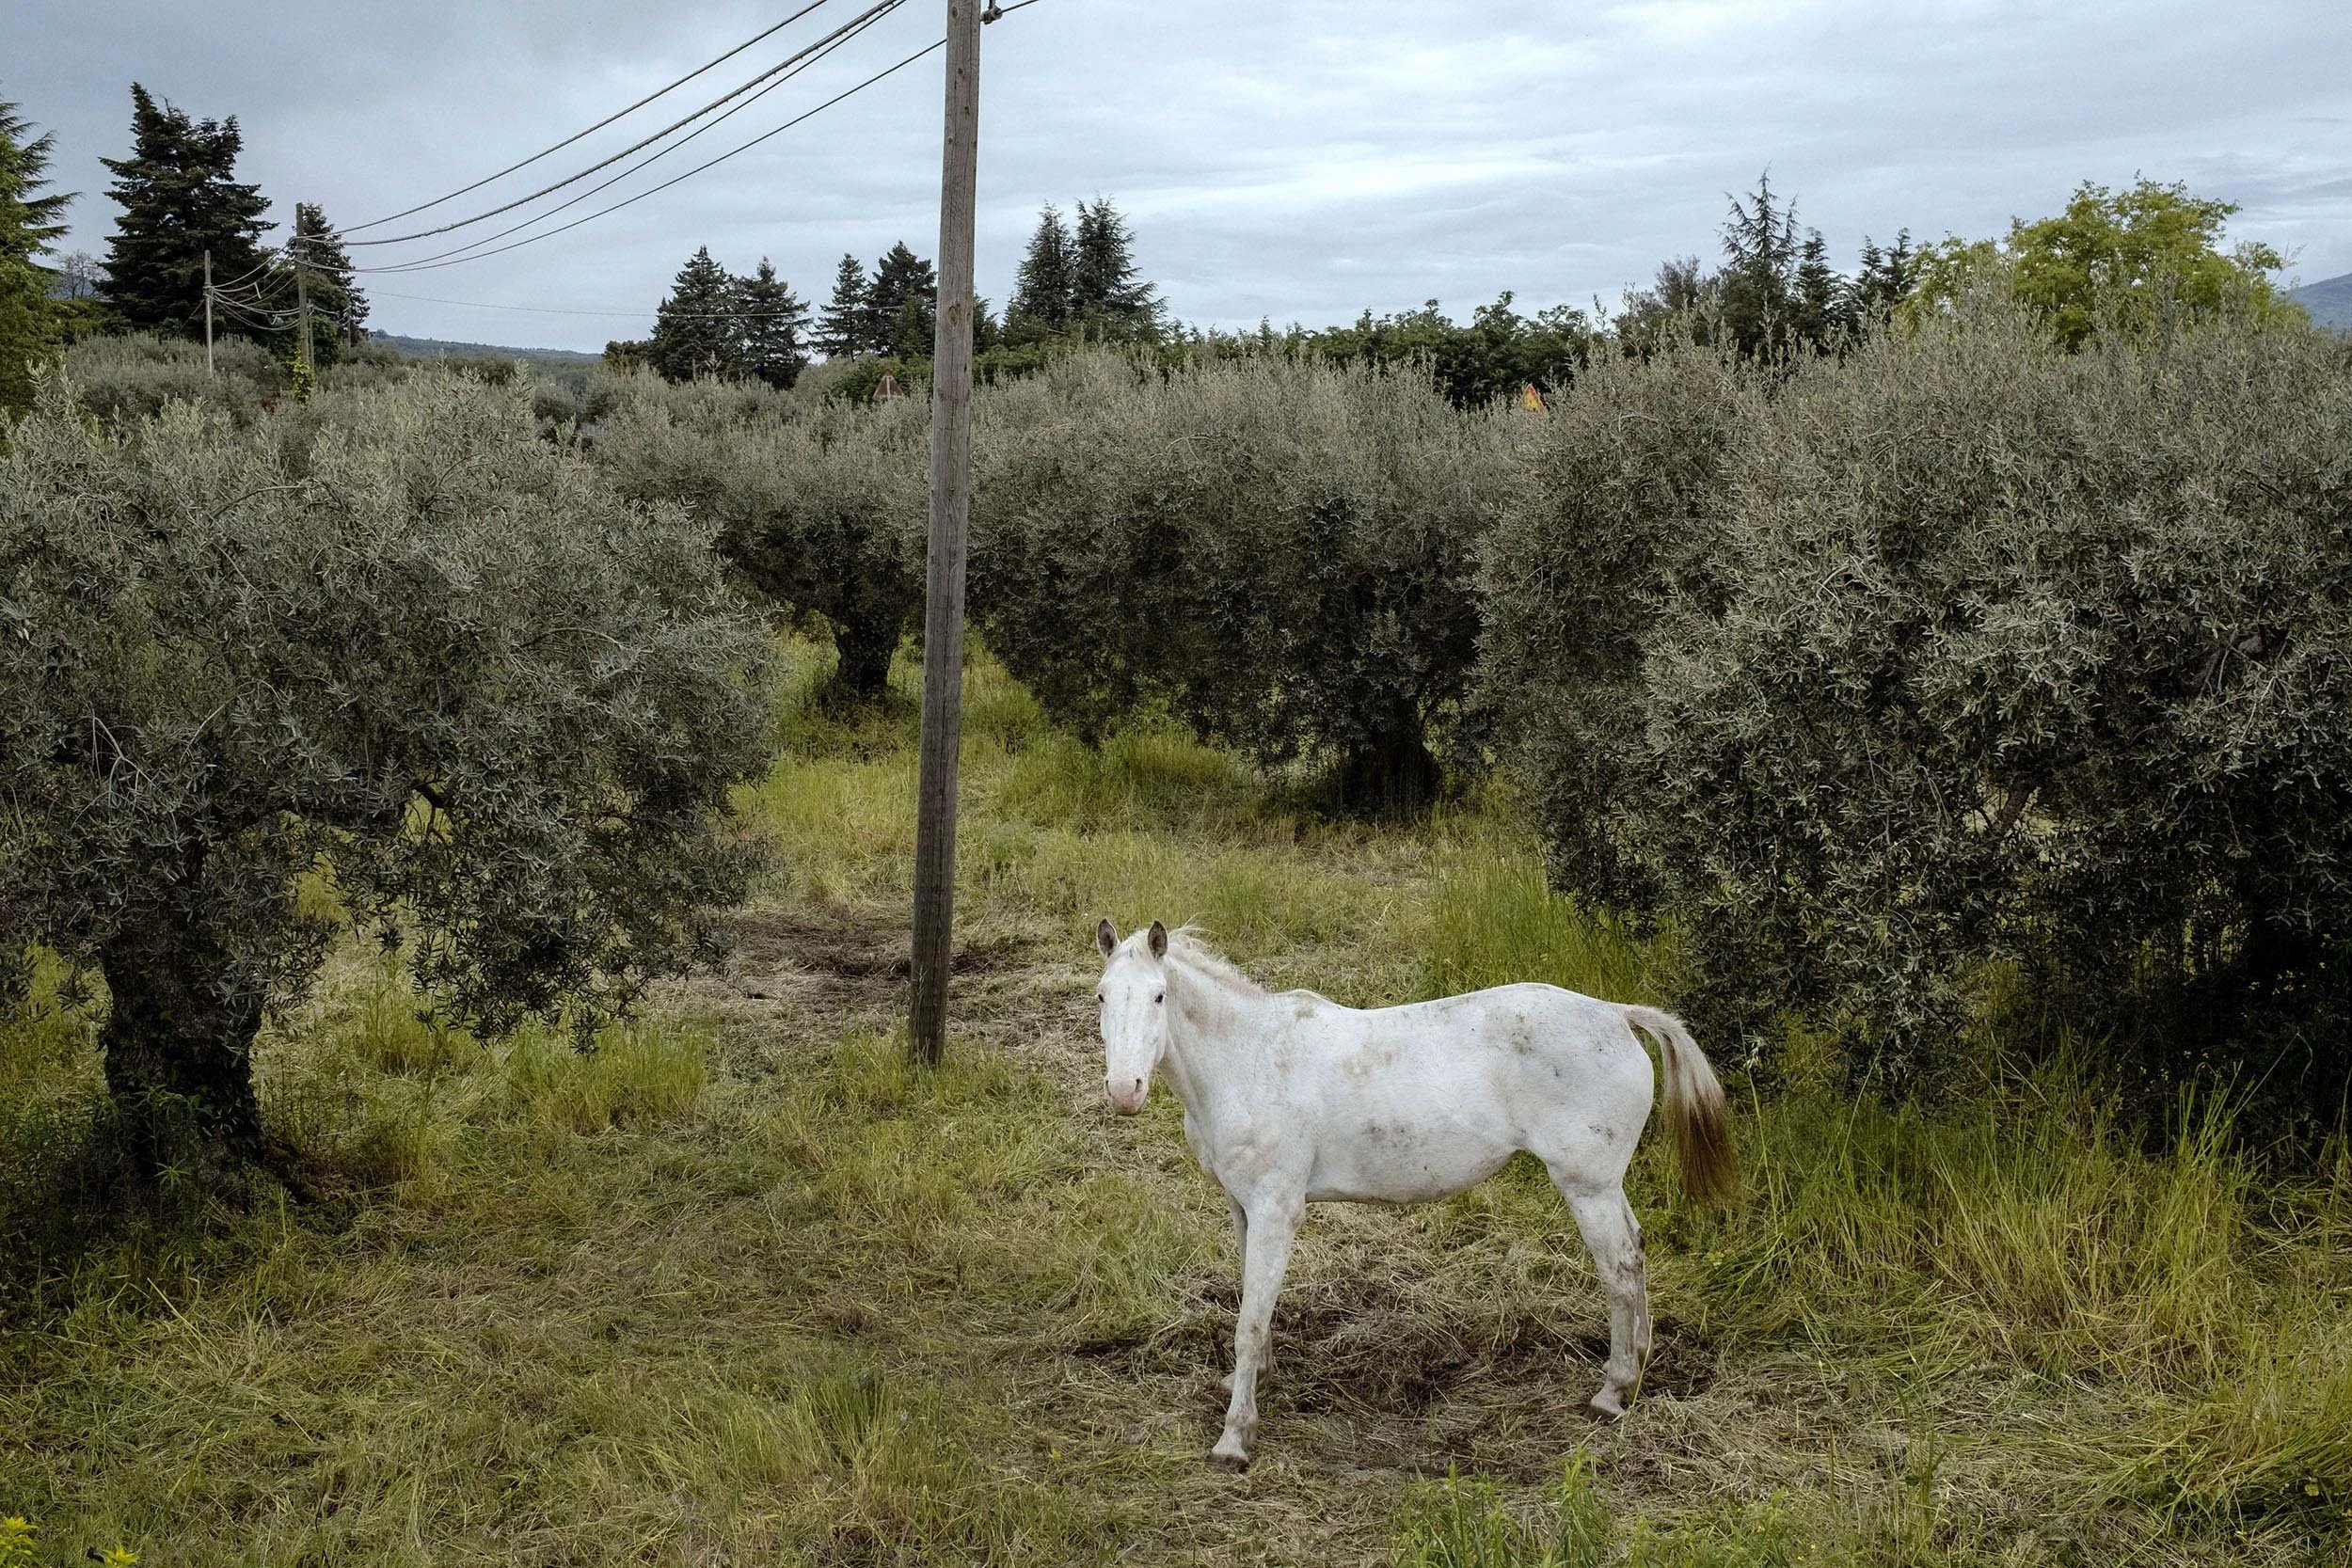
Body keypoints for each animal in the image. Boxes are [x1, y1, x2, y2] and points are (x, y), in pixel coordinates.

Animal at [1092, 918, 1735, 1471]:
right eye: (1101, 996)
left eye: (1158, 997)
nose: (1125, 1091)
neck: (1250, 1058)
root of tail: (1617, 1016)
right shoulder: (1244, 1209)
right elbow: (1256, 1302)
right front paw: (1249, 1381)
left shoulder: (1277, 1211)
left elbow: (1249, 1320)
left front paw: (1234, 1438)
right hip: (1604, 1188)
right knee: (1636, 1253)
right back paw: (1638, 1369)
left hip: (1589, 1188)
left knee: (1620, 1268)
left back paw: (1613, 1392)